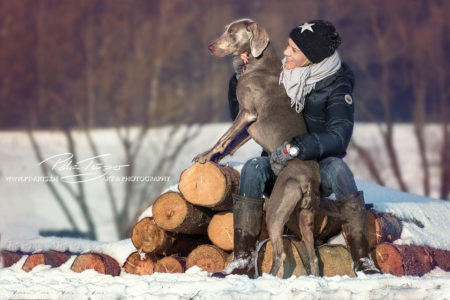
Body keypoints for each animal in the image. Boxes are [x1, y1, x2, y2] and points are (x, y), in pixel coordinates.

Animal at [195, 18, 322, 276]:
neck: (257, 63)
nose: (210, 47)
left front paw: (205, 156)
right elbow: (230, 142)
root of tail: (308, 180)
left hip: (276, 207)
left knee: (281, 253)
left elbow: (223, 137)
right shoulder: (249, 126)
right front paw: (209, 157)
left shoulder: (247, 113)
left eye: (231, 32)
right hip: (306, 214)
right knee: (313, 256)